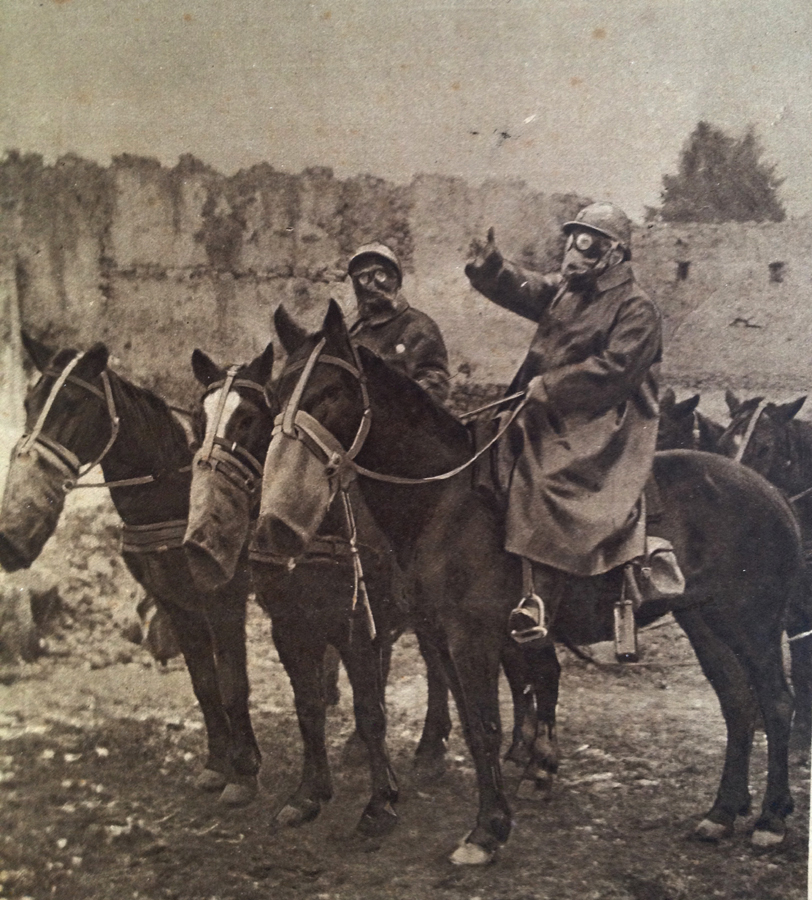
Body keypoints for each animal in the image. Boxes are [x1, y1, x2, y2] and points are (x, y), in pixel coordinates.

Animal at [0, 334, 260, 804]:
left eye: (71, 404)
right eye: (29, 402)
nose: (8, 542)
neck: (174, 492)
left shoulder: (224, 598)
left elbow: (234, 684)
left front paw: (245, 772)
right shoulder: (176, 602)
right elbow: (205, 685)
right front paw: (217, 765)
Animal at [255, 302, 804, 864]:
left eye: (329, 393)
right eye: (274, 396)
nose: (274, 528)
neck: (447, 504)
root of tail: (771, 492)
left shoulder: (471, 639)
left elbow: (486, 726)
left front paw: (486, 831)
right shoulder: (441, 638)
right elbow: (473, 723)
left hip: (752, 624)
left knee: (776, 701)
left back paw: (770, 818)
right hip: (705, 621)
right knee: (737, 702)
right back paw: (722, 812)